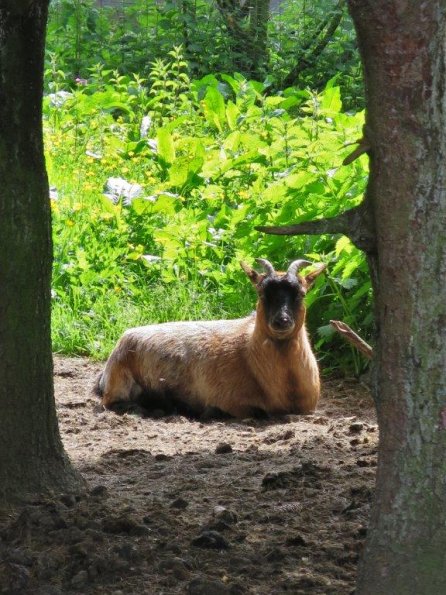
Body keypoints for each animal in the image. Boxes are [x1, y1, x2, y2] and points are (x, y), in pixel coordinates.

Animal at [96, 260, 326, 420]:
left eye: (301, 294)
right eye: (262, 294)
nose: (282, 320)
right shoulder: (233, 401)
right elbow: (259, 413)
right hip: (119, 384)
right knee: (112, 403)